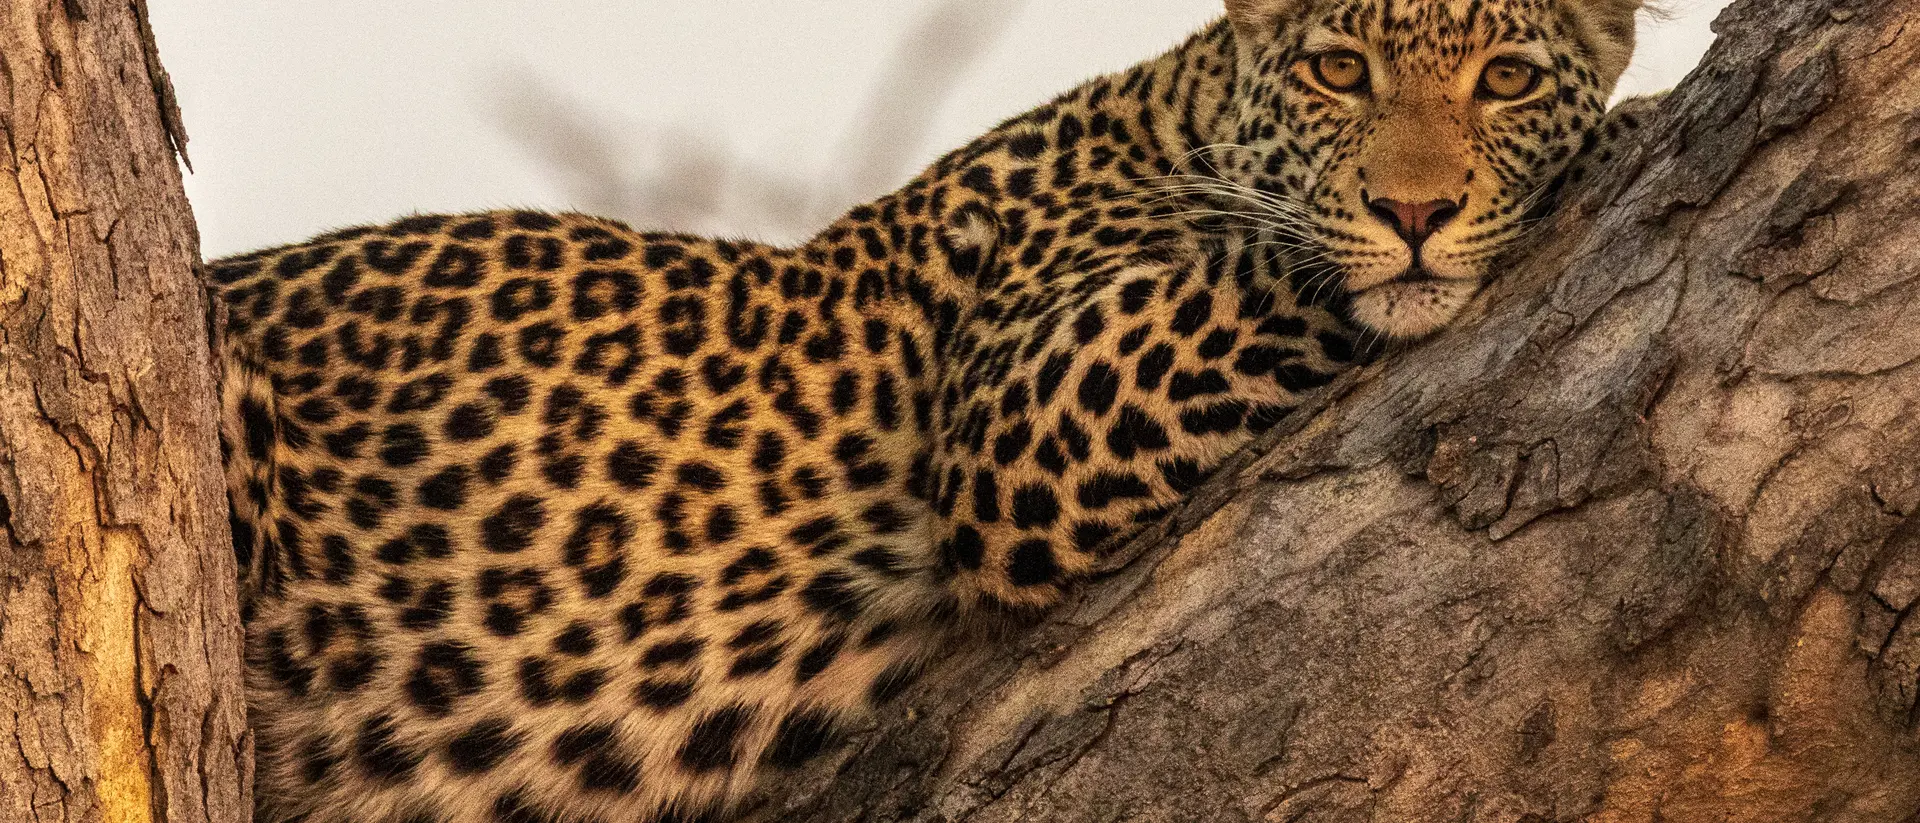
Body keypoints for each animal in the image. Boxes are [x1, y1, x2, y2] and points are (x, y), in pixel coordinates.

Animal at [207, 1, 1657, 821]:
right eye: (1340, 72)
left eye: (1507, 79)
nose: (1418, 210)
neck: (1174, 112)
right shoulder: (1028, 411)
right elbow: (1277, 259)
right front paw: (1620, 130)